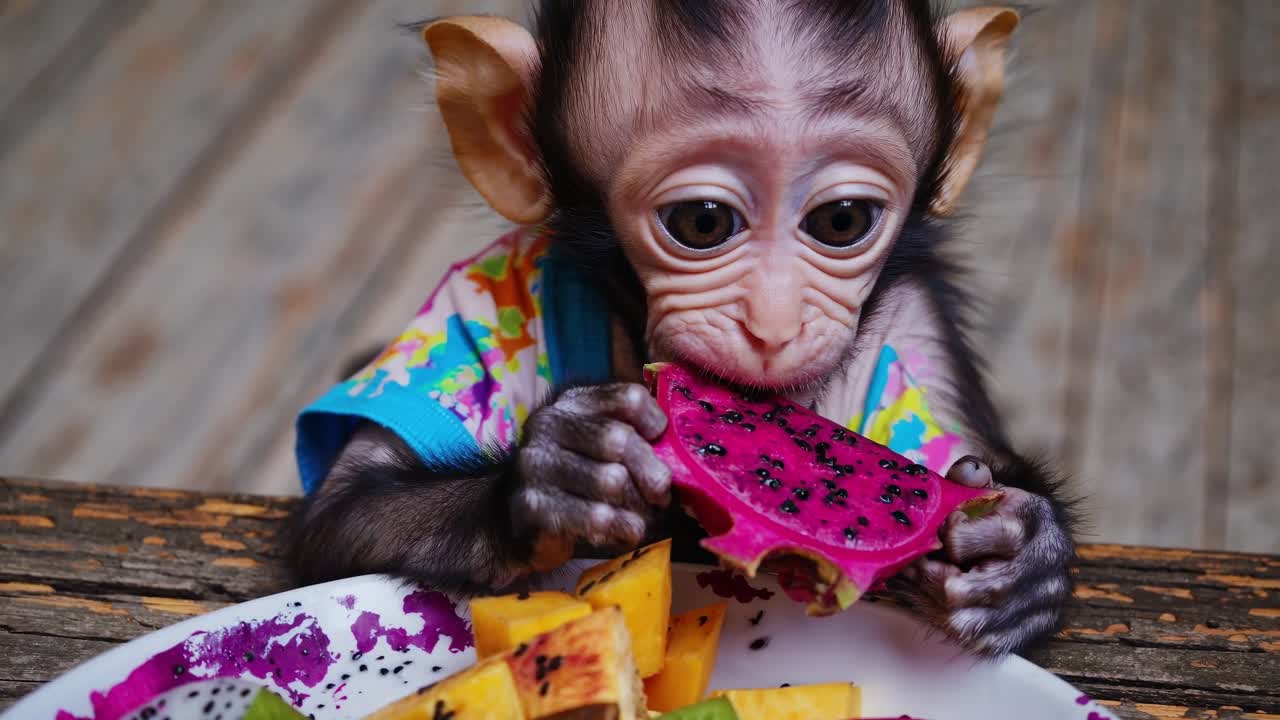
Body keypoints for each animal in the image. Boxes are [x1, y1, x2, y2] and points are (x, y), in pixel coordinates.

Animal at [289, 0, 1080, 658]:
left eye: (842, 220)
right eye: (703, 223)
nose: (773, 324)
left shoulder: (916, 329)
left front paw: (1021, 555)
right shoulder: (486, 286)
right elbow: (349, 511)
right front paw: (558, 468)